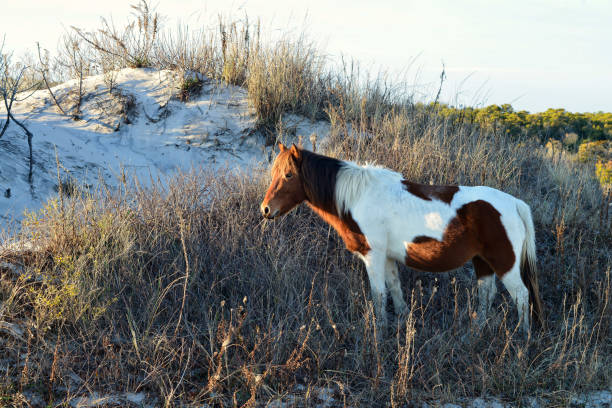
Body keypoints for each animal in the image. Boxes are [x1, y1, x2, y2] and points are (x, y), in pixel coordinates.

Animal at [260, 143, 544, 334]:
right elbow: (395, 289)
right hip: (482, 261)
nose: (265, 210)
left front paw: (380, 331)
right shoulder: (386, 257)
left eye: (288, 175)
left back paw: (522, 336)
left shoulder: (373, 255)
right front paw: (403, 320)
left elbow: (378, 294)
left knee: (521, 295)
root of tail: (514, 203)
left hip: (504, 263)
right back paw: (476, 331)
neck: (358, 197)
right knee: (486, 293)